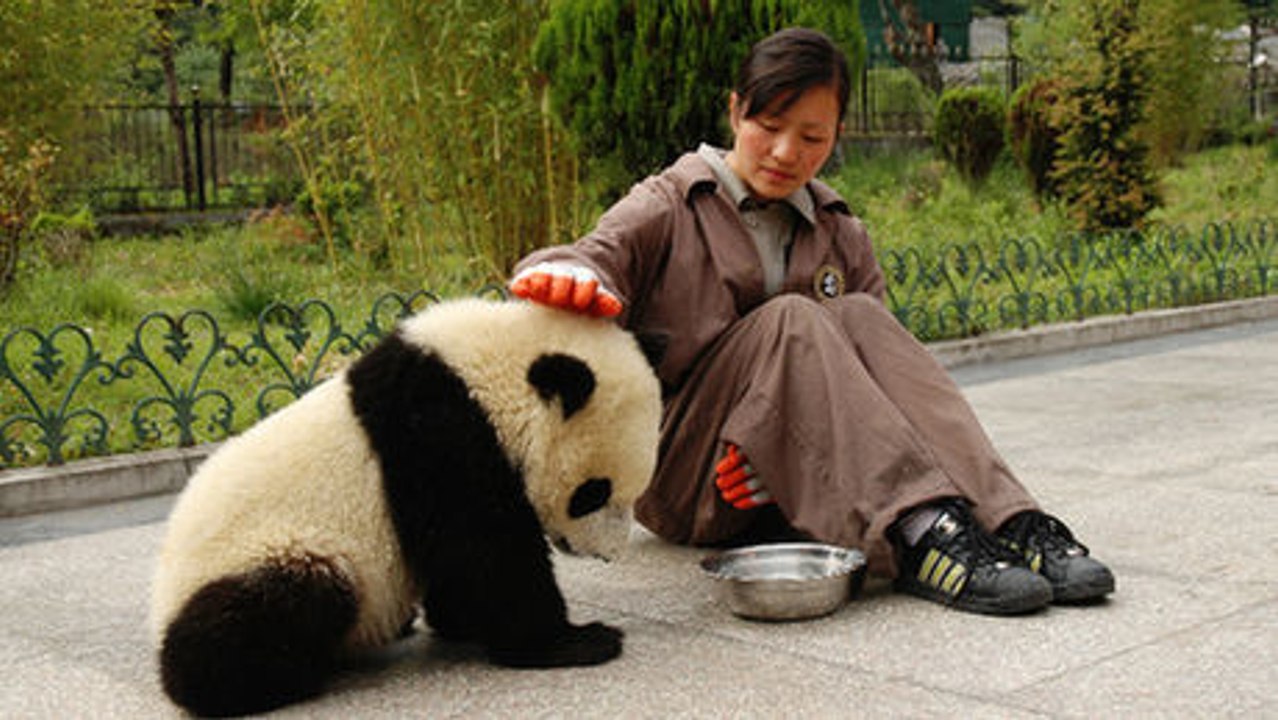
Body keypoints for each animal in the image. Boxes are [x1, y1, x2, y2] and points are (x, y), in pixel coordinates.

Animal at [149, 298, 662, 717]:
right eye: (594, 492)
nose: (608, 554)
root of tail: (163, 595)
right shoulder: (439, 435)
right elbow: (488, 553)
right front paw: (578, 640)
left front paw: (461, 623)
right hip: (274, 548)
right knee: (285, 602)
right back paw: (274, 678)